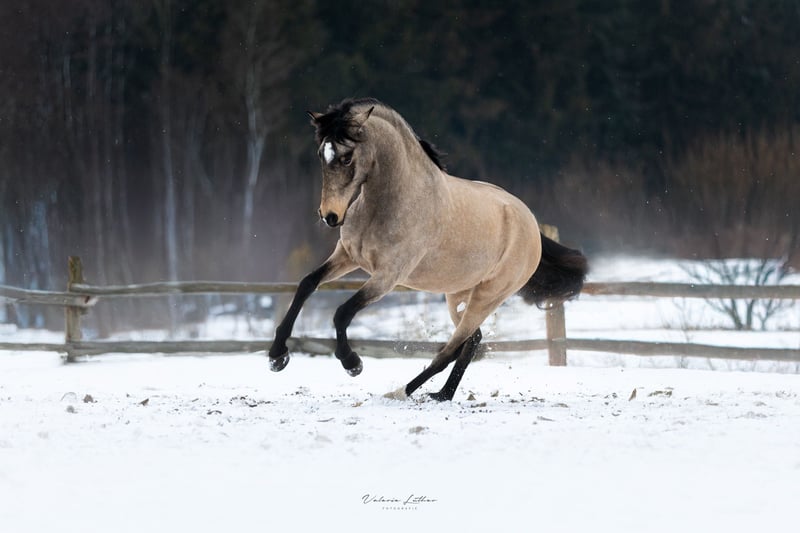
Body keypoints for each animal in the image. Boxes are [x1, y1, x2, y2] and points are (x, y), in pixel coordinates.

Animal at [268, 98, 588, 401]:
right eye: (321, 154)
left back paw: (402, 392)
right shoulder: (347, 256)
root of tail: (530, 223)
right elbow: (306, 284)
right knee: (471, 341)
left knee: (450, 349)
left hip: (488, 295)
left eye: (347, 157)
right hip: (457, 294)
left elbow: (342, 312)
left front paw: (352, 363)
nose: (330, 216)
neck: (392, 200)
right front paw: (277, 357)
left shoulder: (387, 276)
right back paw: (442, 395)